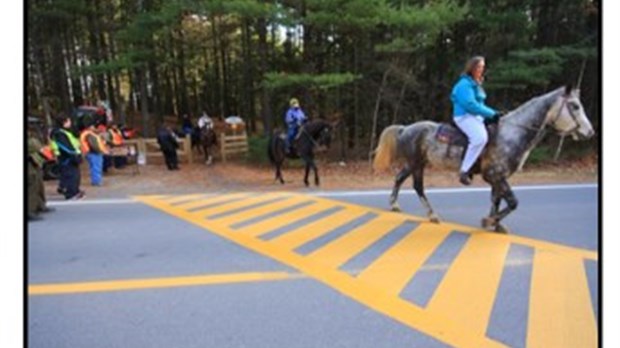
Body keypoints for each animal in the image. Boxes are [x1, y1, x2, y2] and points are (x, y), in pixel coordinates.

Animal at [372, 85, 596, 232]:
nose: (590, 132)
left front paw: (496, 223)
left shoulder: (498, 178)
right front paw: (489, 221)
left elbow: (497, 200)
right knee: (418, 186)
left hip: (415, 163)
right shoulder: (495, 175)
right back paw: (432, 215)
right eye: (575, 106)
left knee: (400, 178)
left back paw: (394, 205)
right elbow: (513, 202)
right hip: (416, 164)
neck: (511, 133)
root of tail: (406, 128)